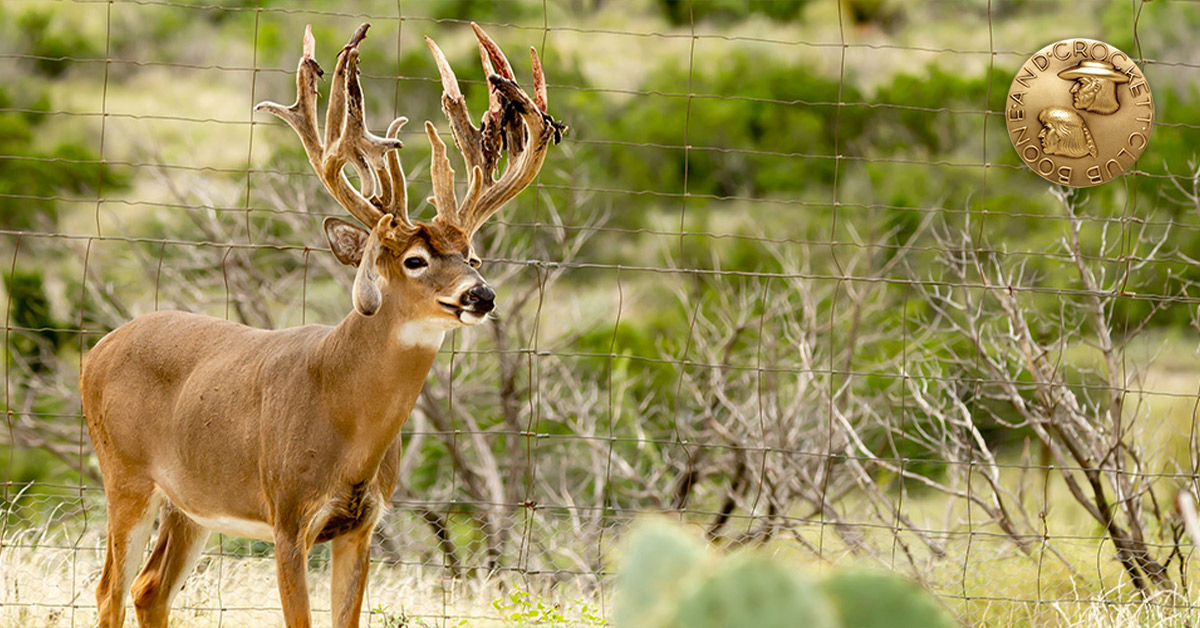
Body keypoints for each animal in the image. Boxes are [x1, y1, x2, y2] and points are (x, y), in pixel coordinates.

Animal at [80, 22, 563, 628]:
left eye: (471, 255)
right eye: (414, 260)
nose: (482, 294)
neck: (342, 411)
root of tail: (95, 352)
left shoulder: (362, 526)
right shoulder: (288, 519)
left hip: (191, 503)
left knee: (149, 588)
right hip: (125, 476)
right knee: (109, 589)